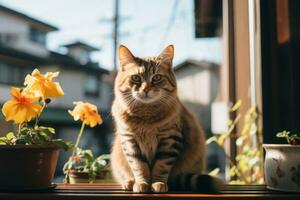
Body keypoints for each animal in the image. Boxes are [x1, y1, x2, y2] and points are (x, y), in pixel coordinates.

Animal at [110, 44, 223, 193]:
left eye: (157, 77)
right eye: (136, 78)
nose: (146, 89)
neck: (146, 117)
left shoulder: (170, 140)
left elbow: (161, 166)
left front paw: (158, 183)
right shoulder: (130, 141)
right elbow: (139, 166)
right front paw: (141, 183)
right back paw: (129, 182)